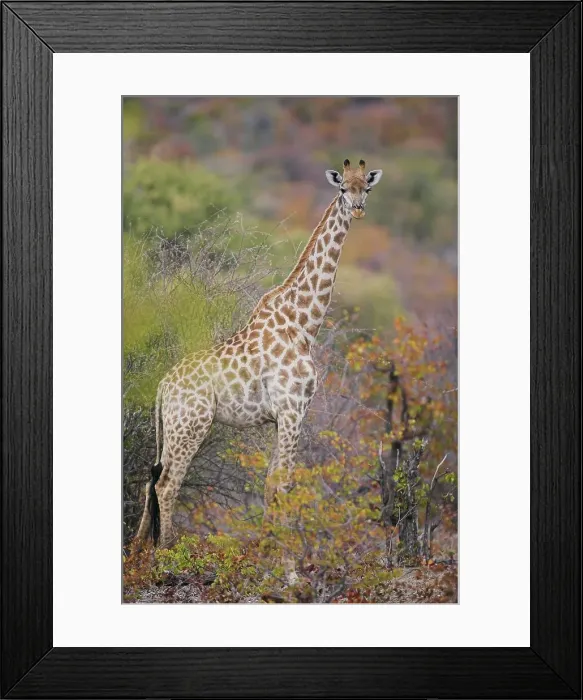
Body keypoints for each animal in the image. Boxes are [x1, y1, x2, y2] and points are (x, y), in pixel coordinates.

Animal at [135, 159, 383, 554]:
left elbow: (271, 483)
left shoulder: (286, 414)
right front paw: (286, 554)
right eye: (343, 188)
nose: (358, 209)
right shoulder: (292, 407)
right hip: (191, 424)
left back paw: (139, 548)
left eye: (367, 188)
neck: (303, 324)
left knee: (152, 477)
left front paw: (269, 545)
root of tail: (162, 387)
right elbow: (284, 482)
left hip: (173, 427)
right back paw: (168, 549)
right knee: (167, 483)